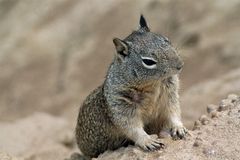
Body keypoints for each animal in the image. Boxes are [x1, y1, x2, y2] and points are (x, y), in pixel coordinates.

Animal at [75, 14, 188, 159]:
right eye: (148, 62)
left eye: (167, 40)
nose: (180, 65)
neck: (153, 84)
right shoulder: (121, 105)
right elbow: (132, 127)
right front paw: (147, 140)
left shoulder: (170, 93)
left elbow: (173, 111)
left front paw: (178, 127)